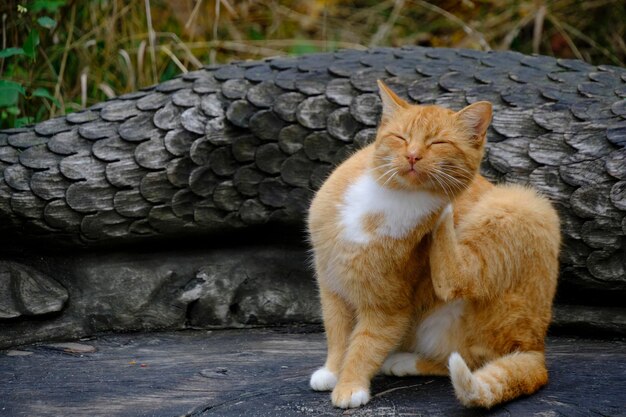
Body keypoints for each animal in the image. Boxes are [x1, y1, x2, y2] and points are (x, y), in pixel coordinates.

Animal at [310, 79, 560, 408]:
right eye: (401, 138)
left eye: (438, 143)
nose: (413, 156)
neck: (393, 197)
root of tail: (536, 347)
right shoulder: (332, 287)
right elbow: (338, 335)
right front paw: (332, 372)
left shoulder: (388, 306)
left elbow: (365, 345)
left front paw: (350, 386)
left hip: (522, 203)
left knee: (462, 309)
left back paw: (445, 214)